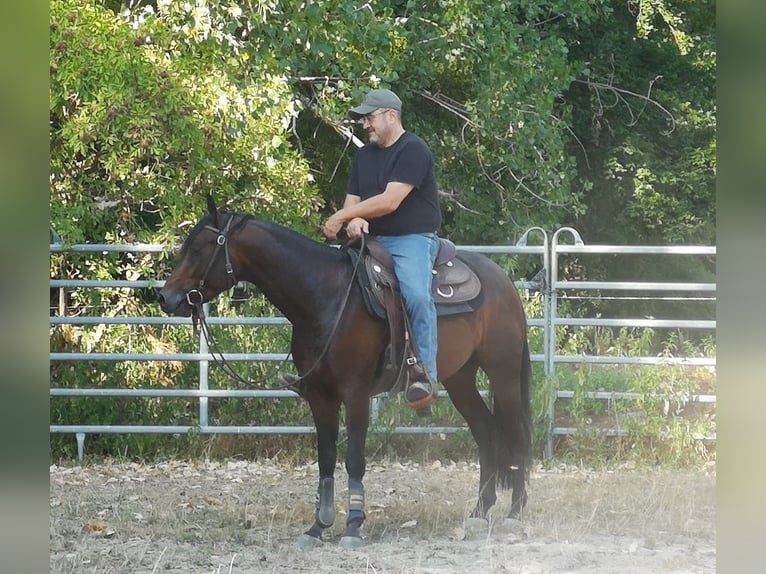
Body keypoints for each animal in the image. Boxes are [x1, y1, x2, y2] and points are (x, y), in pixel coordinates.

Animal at [158, 196, 536, 552]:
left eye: (198, 248)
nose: (165, 297)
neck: (324, 296)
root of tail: (503, 281)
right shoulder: (319, 395)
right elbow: (326, 460)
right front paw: (317, 527)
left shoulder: (356, 393)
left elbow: (354, 459)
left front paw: (353, 527)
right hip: (460, 378)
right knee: (486, 431)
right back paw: (479, 513)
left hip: (502, 373)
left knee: (516, 434)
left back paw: (515, 514)